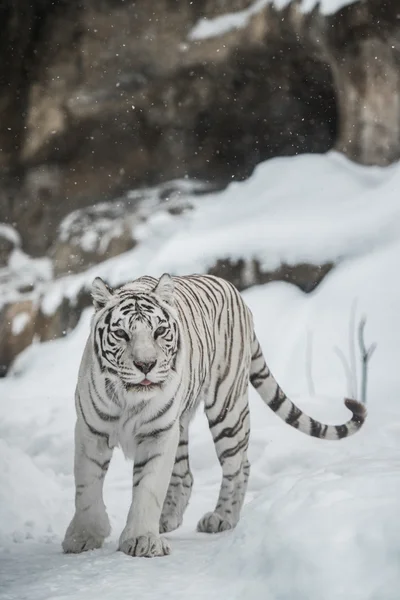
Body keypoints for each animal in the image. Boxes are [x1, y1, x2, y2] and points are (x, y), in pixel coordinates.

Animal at [61, 274, 366, 556]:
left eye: (159, 331)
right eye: (122, 334)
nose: (146, 365)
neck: (129, 400)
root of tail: (233, 289)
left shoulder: (158, 433)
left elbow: (148, 487)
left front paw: (141, 540)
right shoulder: (91, 430)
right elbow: (86, 486)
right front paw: (83, 537)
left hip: (227, 409)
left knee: (238, 465)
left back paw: (221, 518)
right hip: (183, 424)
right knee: (187, 475)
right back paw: (167, 519)